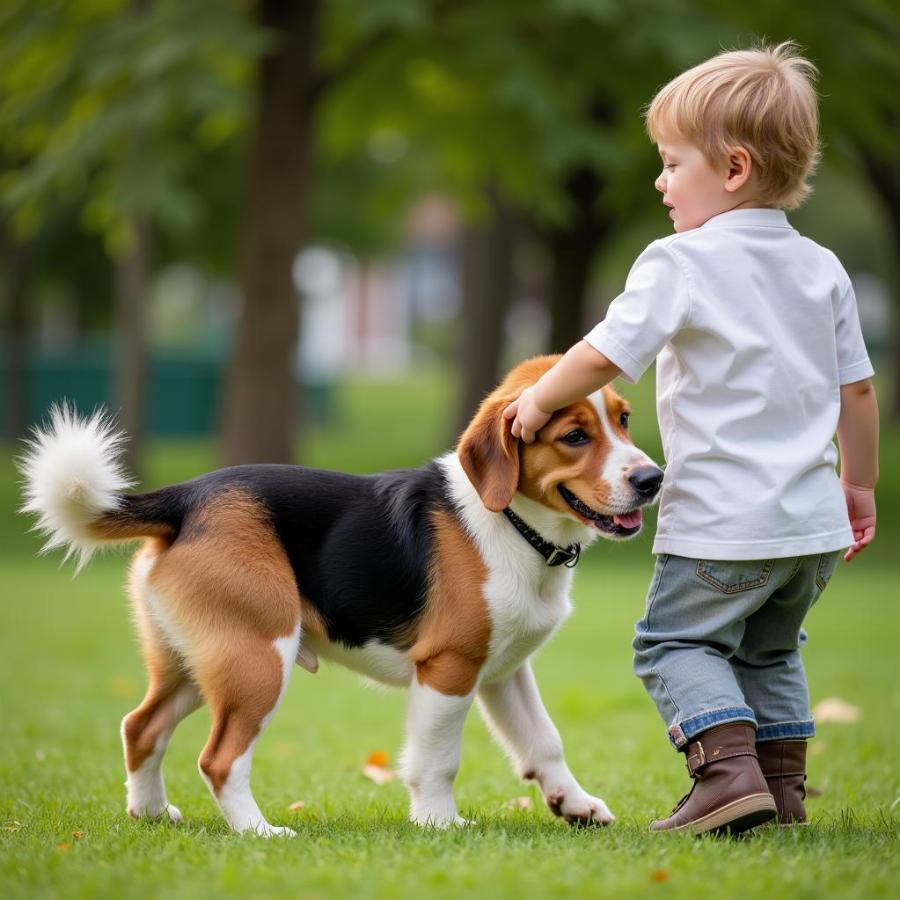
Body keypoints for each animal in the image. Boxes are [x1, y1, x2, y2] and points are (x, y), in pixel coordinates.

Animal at [19, 356, 660, 832]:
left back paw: (151, 812)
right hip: (257, 658)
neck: (513, 526)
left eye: (625, 420)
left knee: (141, 727)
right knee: (219, 758)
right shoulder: (449, 667)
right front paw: (439, 823)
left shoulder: (502, 671)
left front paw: (575, 804)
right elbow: (437, 760)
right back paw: (260, 832)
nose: (651, 479)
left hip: (195, 662)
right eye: (574, 436)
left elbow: (544, 742)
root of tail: (186, 499)